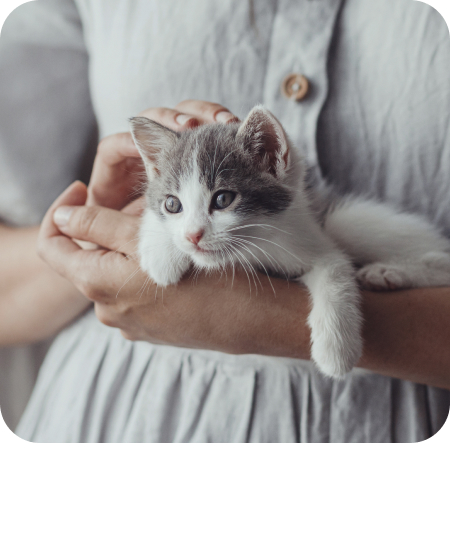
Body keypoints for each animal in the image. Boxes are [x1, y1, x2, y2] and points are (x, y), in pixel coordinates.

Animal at [129, 104, 450, 380]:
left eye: (222, 199)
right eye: (172, 204)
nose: (193, 236)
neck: (255, 245)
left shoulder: (307, 236)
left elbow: (335, 270)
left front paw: (335, 350)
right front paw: (161, 256)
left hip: (346, 220)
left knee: (441, 259)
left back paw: (388, 272)